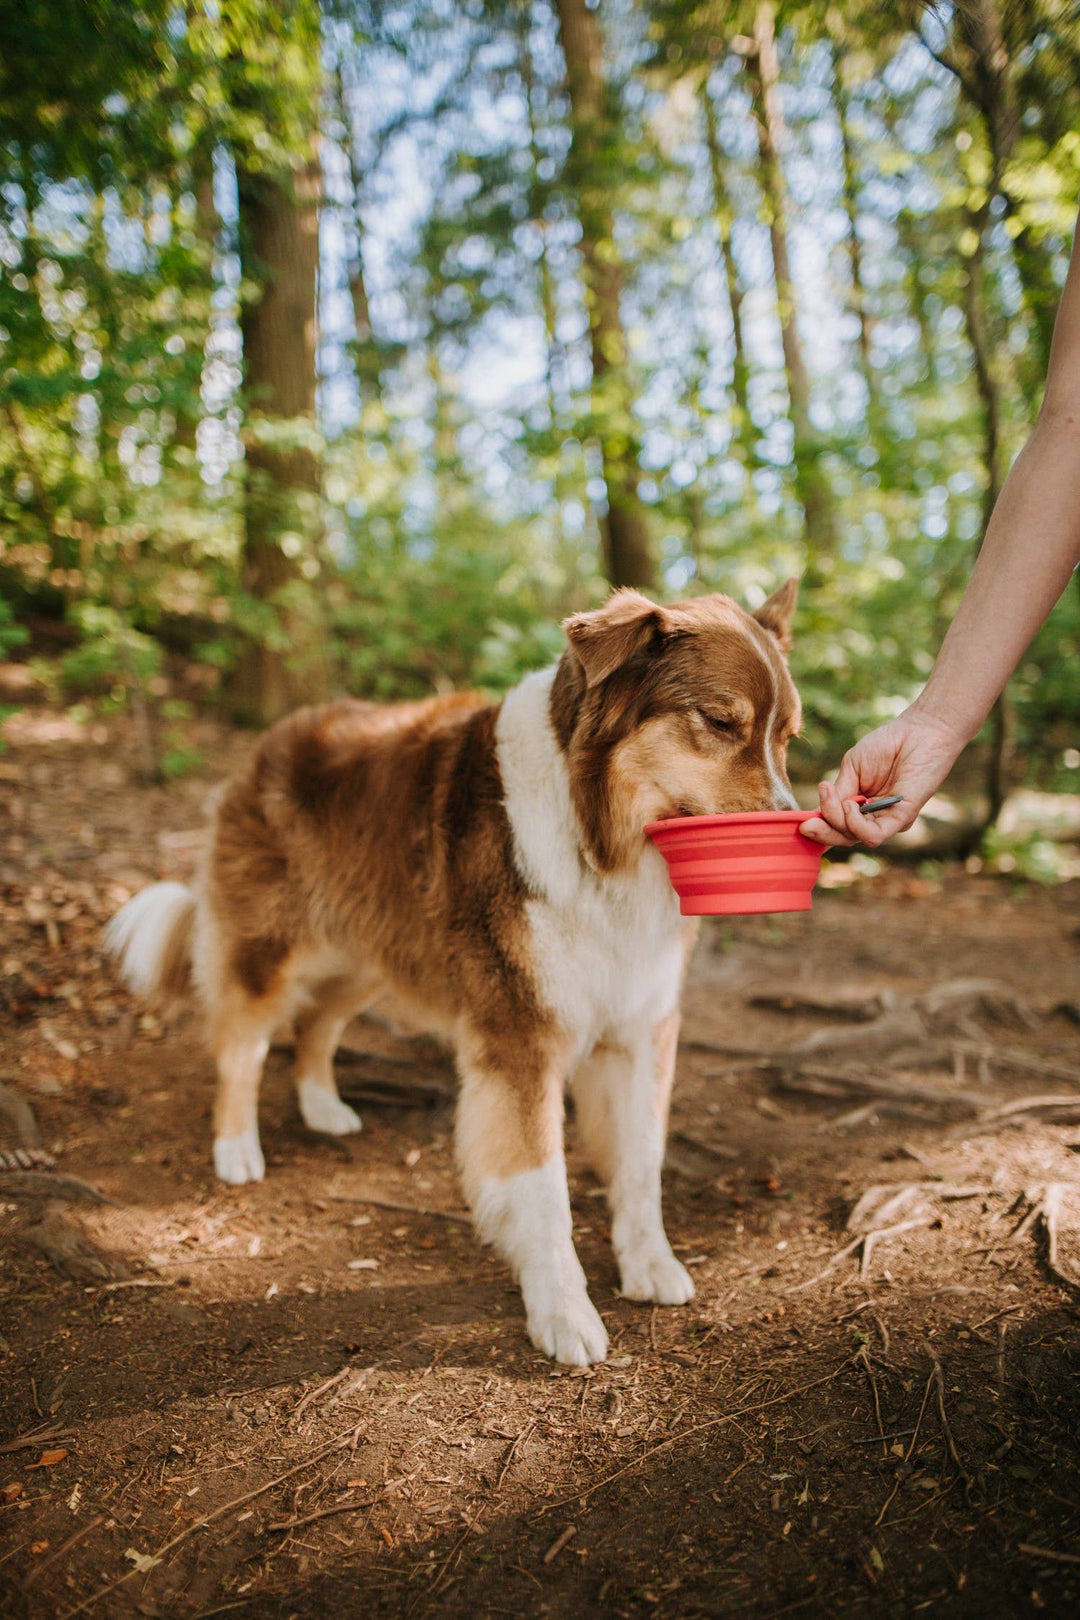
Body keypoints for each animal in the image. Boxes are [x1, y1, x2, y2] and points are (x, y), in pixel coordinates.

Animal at [107, 583, 803, 1367]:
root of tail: (276, 735)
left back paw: (323, 1108)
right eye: (719, 723)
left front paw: (649, 1264)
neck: (598, 840)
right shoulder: (520, 1039)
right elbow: (544, 1189)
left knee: (315, 1026)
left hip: (372, 955)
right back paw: (235, 1148)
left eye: (788, 738)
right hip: (273, 953)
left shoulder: (638, 1028)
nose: (795, 827)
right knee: (241, 1047)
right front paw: (563, 1312)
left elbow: (639, 1163)